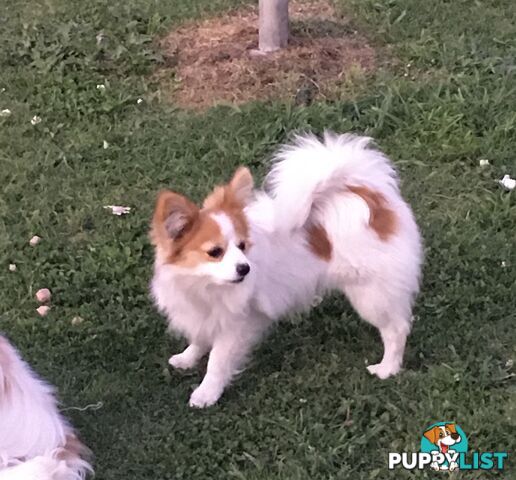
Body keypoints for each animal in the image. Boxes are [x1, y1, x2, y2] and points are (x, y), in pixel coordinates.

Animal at [152, 132, 424, 408]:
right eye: (215, 252)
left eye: (242, 246)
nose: (245, 268)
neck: (205, 285)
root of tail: (369, 195)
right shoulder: (201, 313)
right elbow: (199, 338)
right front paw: (187, 358)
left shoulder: (235, 326)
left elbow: (217, 361)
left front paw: (206, 393)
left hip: (371, 295)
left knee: (396, 329)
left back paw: (387, 368)